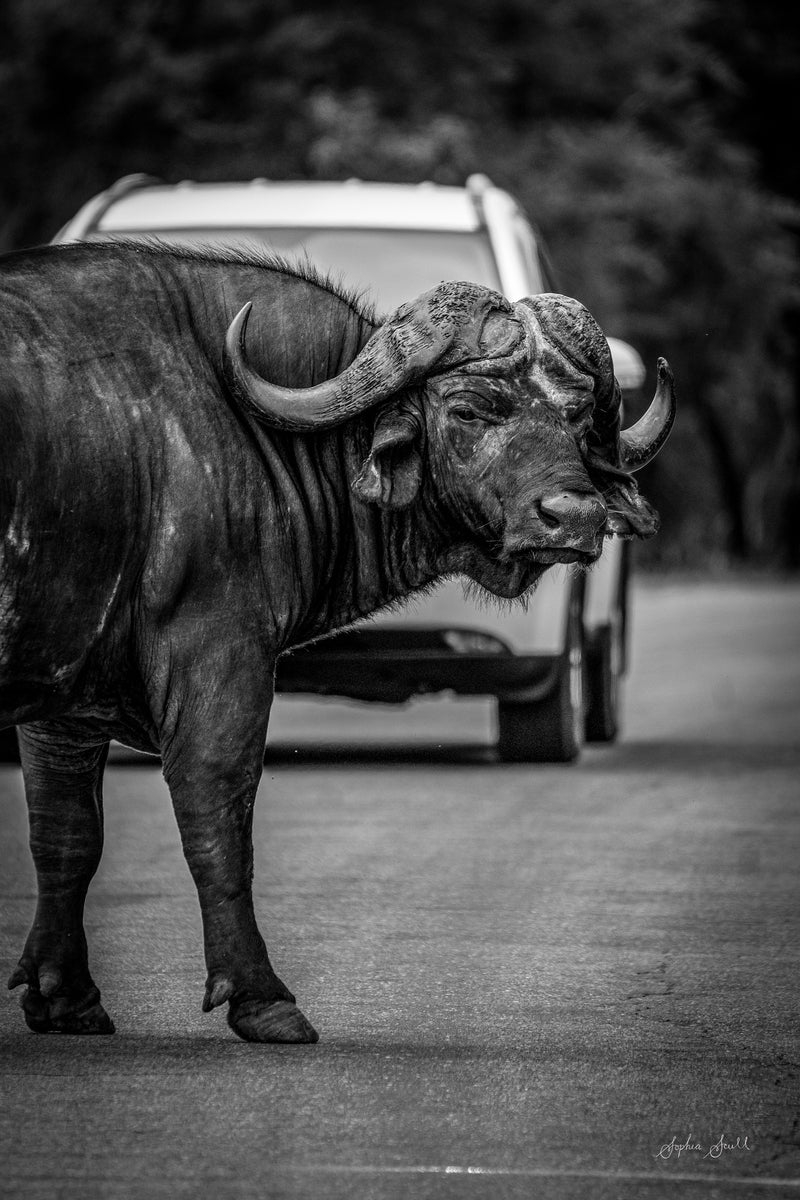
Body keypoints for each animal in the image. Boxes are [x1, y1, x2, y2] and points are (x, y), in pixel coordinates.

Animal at [1, 242, 674, 1042]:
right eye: (471, 409)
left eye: (577, 416)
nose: (573, 516)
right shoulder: (219, 655)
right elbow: (218, 817)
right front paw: (263, 998)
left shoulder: (62, 690)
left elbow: (64, 834)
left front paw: (65, 997)